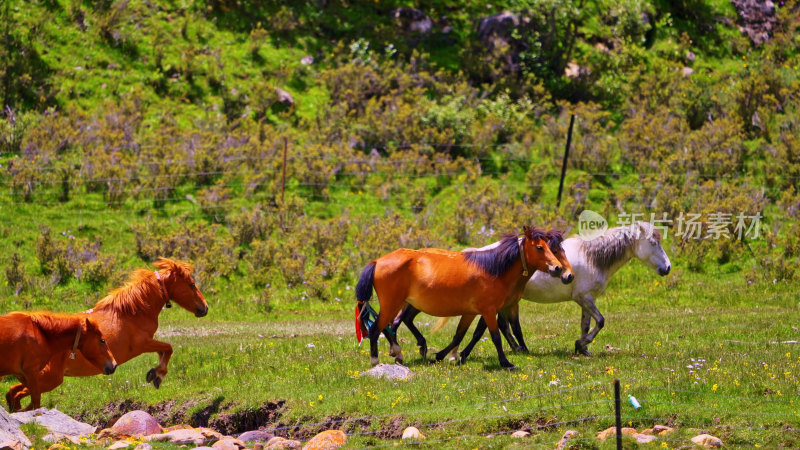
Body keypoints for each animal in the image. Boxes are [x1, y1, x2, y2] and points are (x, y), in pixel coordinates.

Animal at [7, 258, 206, 410]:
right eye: (192, 284)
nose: (205, 308)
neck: (131, 312)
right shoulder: (142, 344)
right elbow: (168, 348)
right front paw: (157, 375)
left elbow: (164, 350)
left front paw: (154, 373)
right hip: (48, 379)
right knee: (20, 396)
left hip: (37, 378)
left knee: (13, 393)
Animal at [356, 225, 564, 370]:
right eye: (540, 247)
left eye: (550, 247)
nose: (558, 268)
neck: (492, 269)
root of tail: (377, 261)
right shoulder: (489, 311)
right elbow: (495, 336)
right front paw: (505, 363)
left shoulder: (471, 313)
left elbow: (459, 335)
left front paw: (443, 356)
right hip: (392, 304)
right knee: (377, 329)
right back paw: (375, 361)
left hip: (398, 304)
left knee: (390, 326)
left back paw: (399, 353)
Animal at [396, 220, 672, 360]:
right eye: (653, 242)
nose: (667, 268)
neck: (592, 257)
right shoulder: (585, 298)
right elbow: (601, 321)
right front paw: (581, 344)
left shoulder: (584, 300)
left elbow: (587, 324)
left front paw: (583, 348)